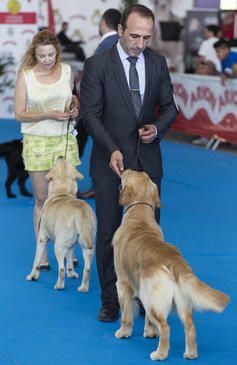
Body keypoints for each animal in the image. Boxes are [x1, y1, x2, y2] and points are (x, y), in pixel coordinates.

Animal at [26, 156, 96, 290]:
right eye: (66, 161)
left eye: (56, 163)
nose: (60, 156)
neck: (62, 192)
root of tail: (80, 212)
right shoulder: (71, 245)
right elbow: (69, 259)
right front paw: (72, 273)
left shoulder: (41, 239)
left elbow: (36, 261)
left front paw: (33, 276)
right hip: (87, 246)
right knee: (87, 269)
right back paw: (83, 288)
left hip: (58, 246)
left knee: (61, 268)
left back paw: (59, 285)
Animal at [112, 169, 230, 360]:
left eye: (129, 175)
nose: (124, 169)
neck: (139, 216)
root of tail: (174, 261)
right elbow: (147, 320)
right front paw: (149, 332)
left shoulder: (123, 284)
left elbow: (126, 314)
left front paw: (123, 332)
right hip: (179, 300)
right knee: (189, 326)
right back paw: (190, 354)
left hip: (151, 297)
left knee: (165, 327)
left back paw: (159, 354)